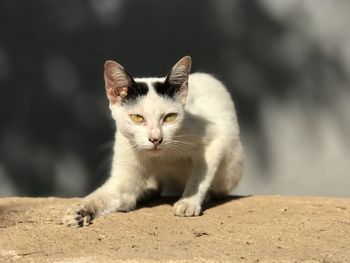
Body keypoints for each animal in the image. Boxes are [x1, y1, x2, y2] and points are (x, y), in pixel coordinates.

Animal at [62, 55, 243, 227]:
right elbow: (104, 195)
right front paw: (80, 209)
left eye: (170, 117)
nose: (156, 139)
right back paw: (145, 192)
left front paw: (189, 201)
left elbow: (200, 175)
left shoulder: (216, 138)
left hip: (232, 167)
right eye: (137, 117)